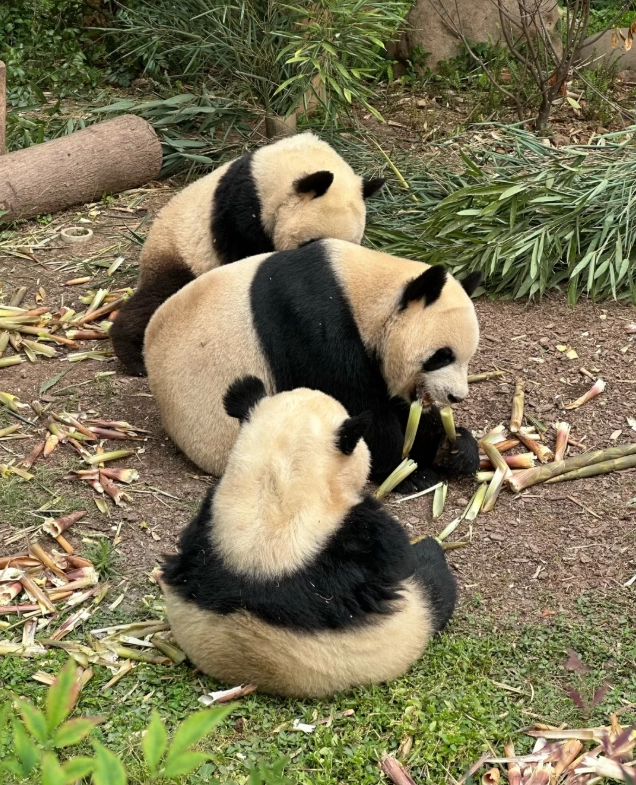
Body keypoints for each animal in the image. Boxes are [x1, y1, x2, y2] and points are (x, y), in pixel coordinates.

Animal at [145, 238, 482, 493]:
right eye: (442, 355)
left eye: (468, 357)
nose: (456, 397)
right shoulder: (313, 323)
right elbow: (358, 405)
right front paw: (411, 472)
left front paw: (455, 446)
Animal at [159, 376, 457, 698]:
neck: (273, 491)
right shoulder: (360, 537)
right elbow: (396, 555)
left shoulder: (206, 523)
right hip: (411, 621)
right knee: (435, 586)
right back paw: (432, 550)